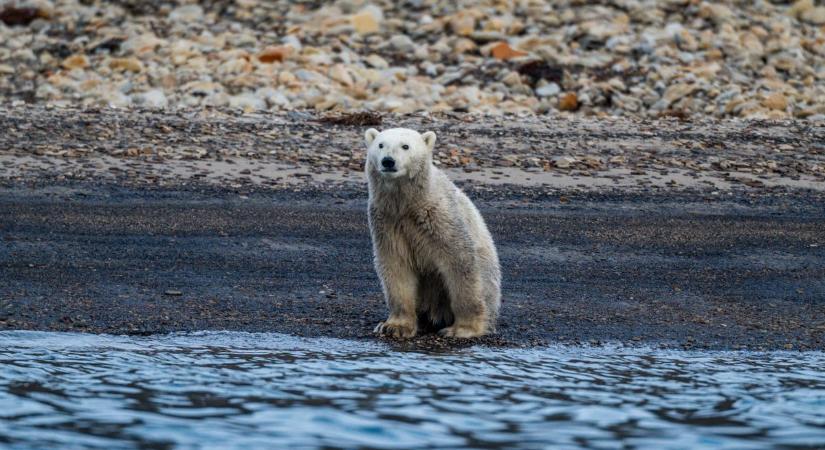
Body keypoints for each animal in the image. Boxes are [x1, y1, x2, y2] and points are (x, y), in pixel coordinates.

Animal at [366, 126, 502, 338]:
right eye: (380, 144)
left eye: (405, 146)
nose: (388, 161)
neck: (408, 203)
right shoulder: (387, 222)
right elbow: (396, 266)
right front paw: (394, 326)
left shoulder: (440, 218)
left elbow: (460, 263)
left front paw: (463, 329)